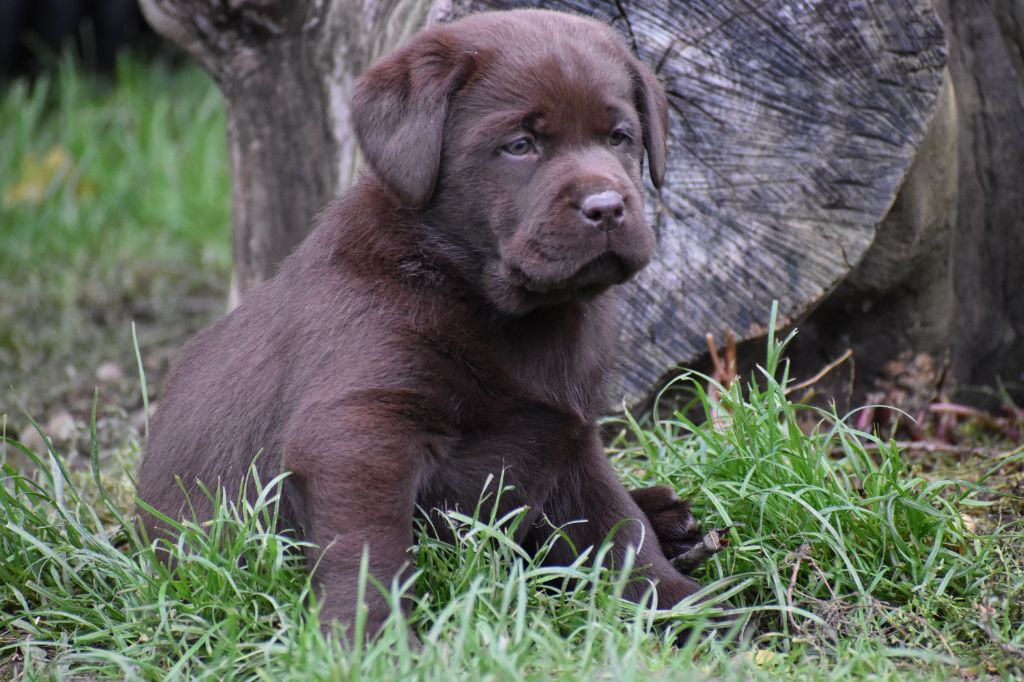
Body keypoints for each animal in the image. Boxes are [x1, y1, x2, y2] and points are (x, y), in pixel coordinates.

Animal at [138, 8, 704, 637]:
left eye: (619, 137)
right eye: (520, 145)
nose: (607, 207)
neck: (469, 287)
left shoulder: (569, 437)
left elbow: (618, 528)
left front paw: (690, 609)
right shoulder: (355, 428)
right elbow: (370, 549)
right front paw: (372, 639)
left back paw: (670, 519)